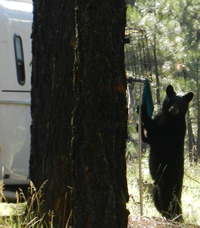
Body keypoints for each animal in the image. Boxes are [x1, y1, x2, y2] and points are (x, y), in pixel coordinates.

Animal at [141, 85, 194, 221]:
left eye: (180, 104)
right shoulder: (161, 119)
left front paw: (142, 111)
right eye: (171, 101)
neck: (170, 118)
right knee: (159, 202)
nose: (173, 109)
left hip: (168, 183)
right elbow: (147, 139)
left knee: (169, 202)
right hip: (156, 188)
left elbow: (156, 136)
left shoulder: (173, 131)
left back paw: (176, 218)